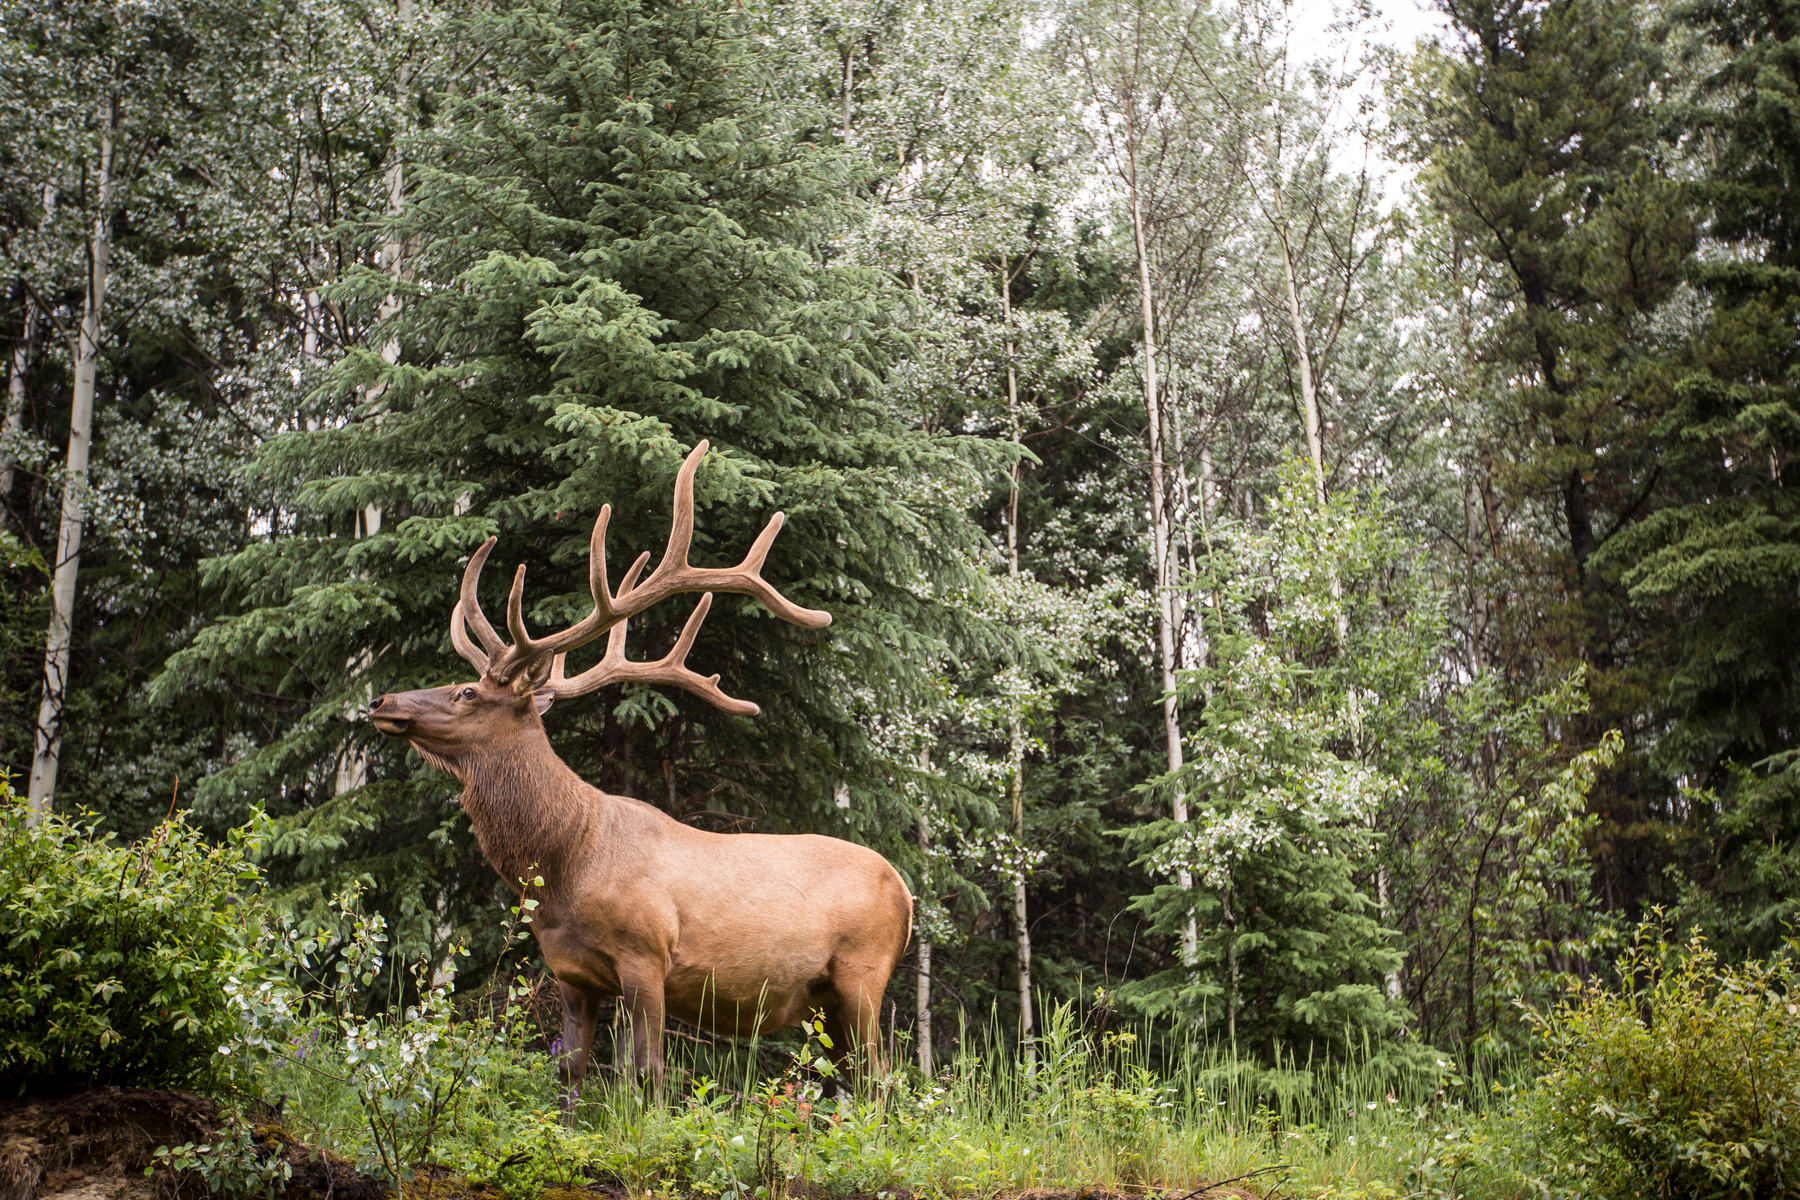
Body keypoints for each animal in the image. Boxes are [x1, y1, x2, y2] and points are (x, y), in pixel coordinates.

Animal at [367, 442, 913, 1119]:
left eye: (466, 691)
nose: (382, 700)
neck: (565, 863)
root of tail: (907, 894)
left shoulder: (647, 956)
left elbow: (645, 1073)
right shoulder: (570, 971)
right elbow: (571, 1071)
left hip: (862, 972)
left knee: (880, 1079)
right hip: (828, 998)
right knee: (856, 1079)